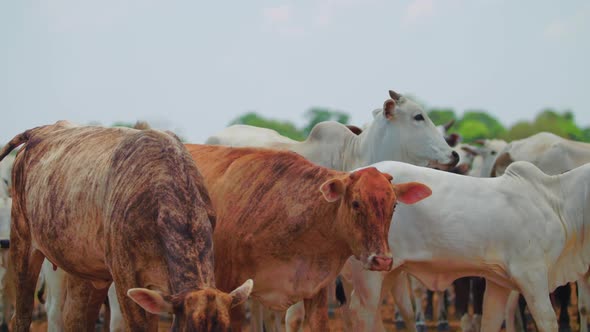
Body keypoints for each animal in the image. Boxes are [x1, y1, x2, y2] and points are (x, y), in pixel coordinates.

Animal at [0, 122, 252, 332]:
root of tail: (40, 131)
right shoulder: (125, 277)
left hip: (83, 268)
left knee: (75, 319)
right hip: (22, 244)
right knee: (21, 316)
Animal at [344, 160, 590, 332]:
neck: (557, 203)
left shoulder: (499, 281)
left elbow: (491, 320)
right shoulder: (532, 275)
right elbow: (548, 320)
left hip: (389, 270)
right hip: (369, 272)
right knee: (361, 311)